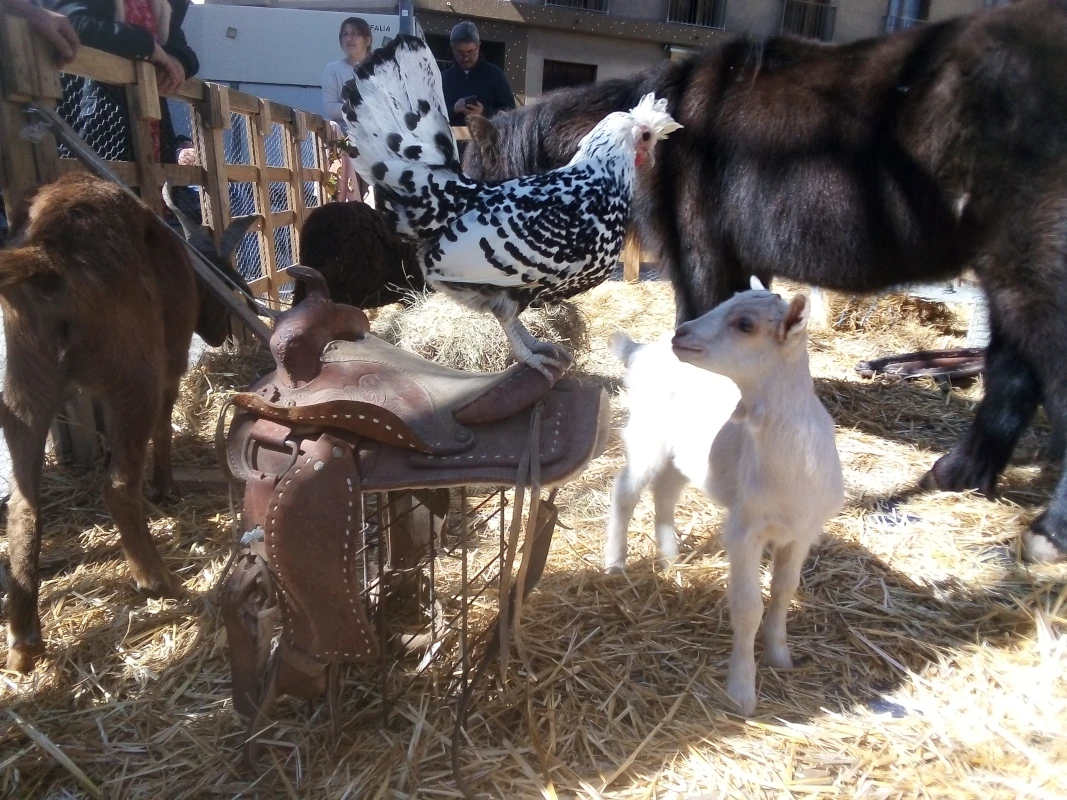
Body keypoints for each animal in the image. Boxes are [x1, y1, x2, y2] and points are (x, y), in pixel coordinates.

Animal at [0, 173, 254, 673]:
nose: (221, 334)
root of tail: (46, 251)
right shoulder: (169, 363)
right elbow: (164, 424)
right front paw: (165, 486)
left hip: (25, 380)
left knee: (23, 503)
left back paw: (24, 642)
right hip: (133, 372)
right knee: (117, 485)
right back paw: (160, 581)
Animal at [605, 281, 844, 715]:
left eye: (745, 323)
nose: (681, 334)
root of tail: (638, 350)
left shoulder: (803, 531)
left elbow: (784, 591)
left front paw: (781, 657)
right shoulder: (745, 529)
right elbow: (749, 608)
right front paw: (742, 692)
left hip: (683, 453)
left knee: (665, 492)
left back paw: (670, 559)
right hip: (646, 433)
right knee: (625, 490)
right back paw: (615, 563)